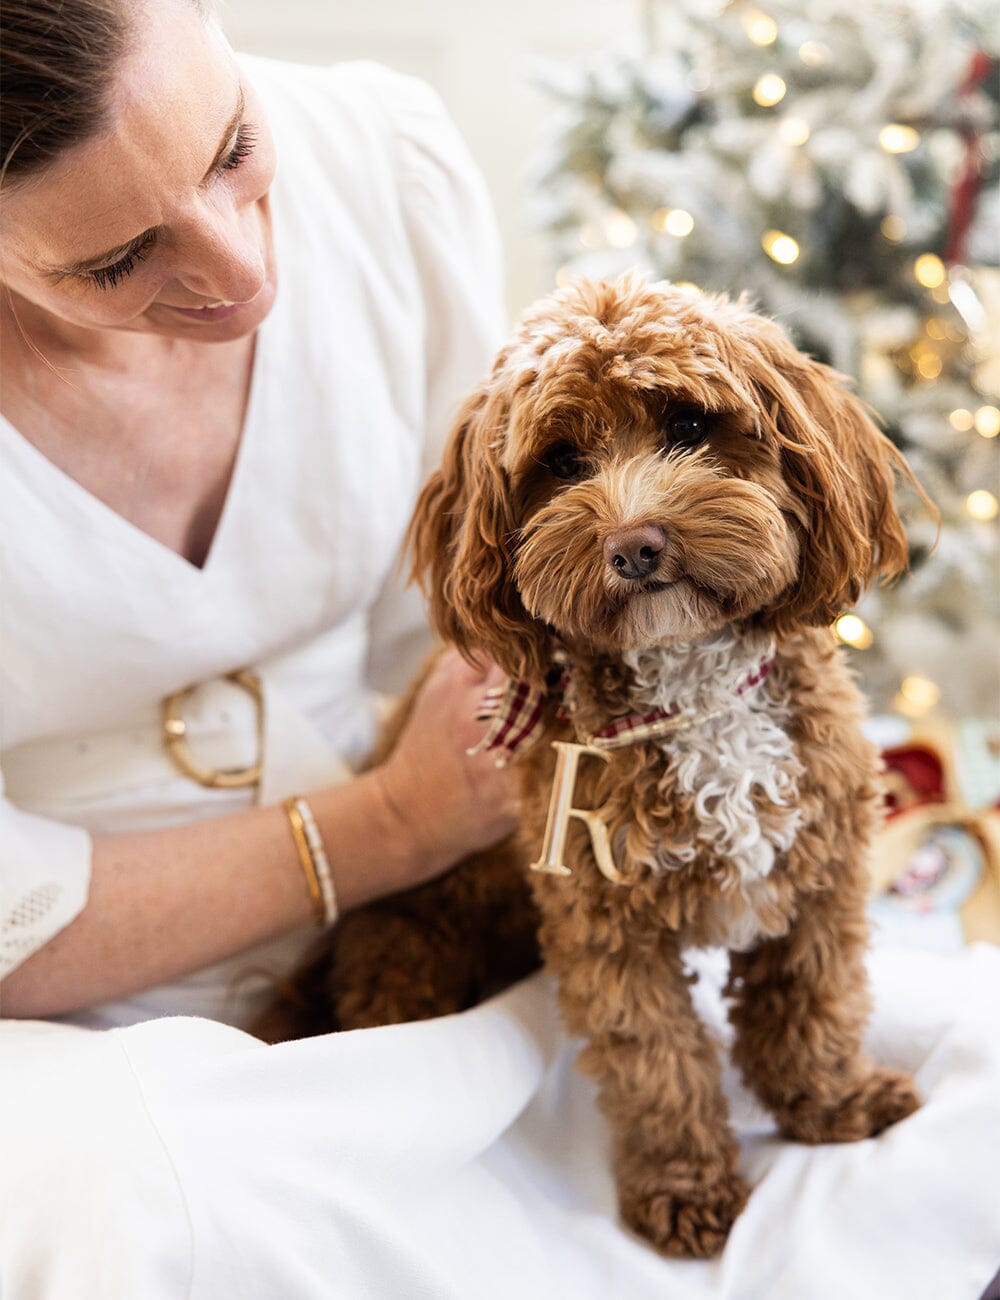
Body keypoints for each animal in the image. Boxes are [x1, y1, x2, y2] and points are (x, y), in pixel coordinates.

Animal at [254, 271, 920, 1258]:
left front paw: (834, 1104)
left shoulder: (818, 874)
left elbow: (813, 1004)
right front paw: (685, 1188)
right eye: (562, 462)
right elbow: (658, 1061)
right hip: (405, 946)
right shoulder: (608, 930)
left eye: (689, 424)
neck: (691, 687)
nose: (635, 545)